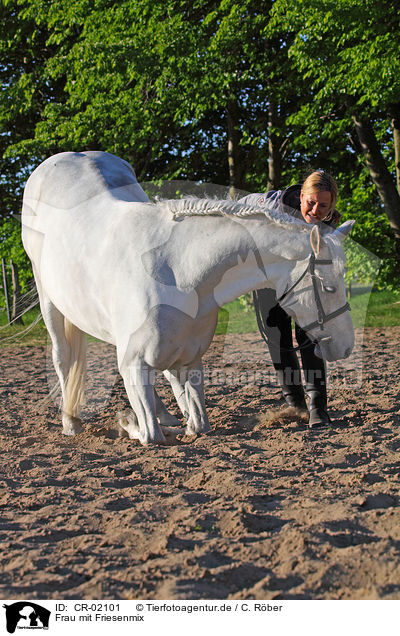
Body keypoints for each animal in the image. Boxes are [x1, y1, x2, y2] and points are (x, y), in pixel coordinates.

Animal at [21, 152, 354, 444]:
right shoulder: (134, 364)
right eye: (328, 287)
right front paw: (126, 420)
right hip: (48, 299)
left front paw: (176, 420)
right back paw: (71, 422)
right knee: (62, 356)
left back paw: (165, 414)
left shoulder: (189, 360)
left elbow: (197, 422)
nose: (346, 347)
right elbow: (150, 435)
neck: (179, 271)